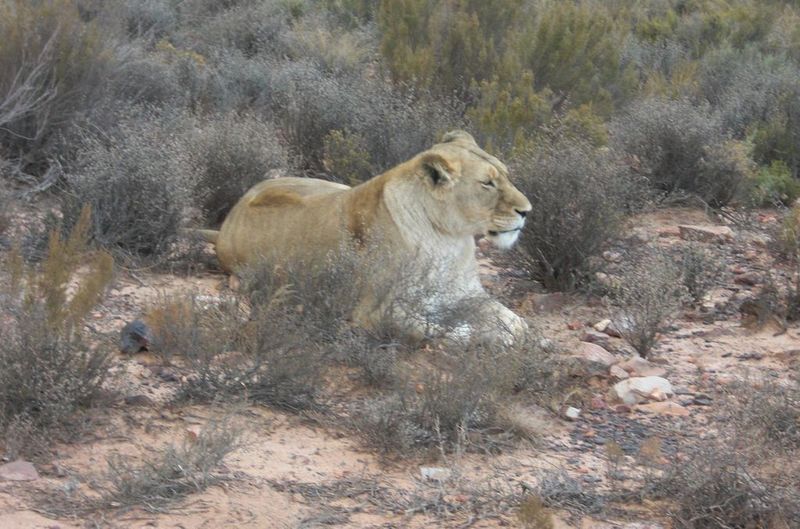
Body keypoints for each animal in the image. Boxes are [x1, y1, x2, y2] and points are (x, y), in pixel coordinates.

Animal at [198, 130, 532, 342]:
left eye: (505, 174)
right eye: (487, 183)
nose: (527, 211)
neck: (449, 239)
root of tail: (228, 222)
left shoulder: (466, 293)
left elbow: (515, 322)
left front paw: (516, 333)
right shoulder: (377, 312)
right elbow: (444, 330)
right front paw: (489, 336)